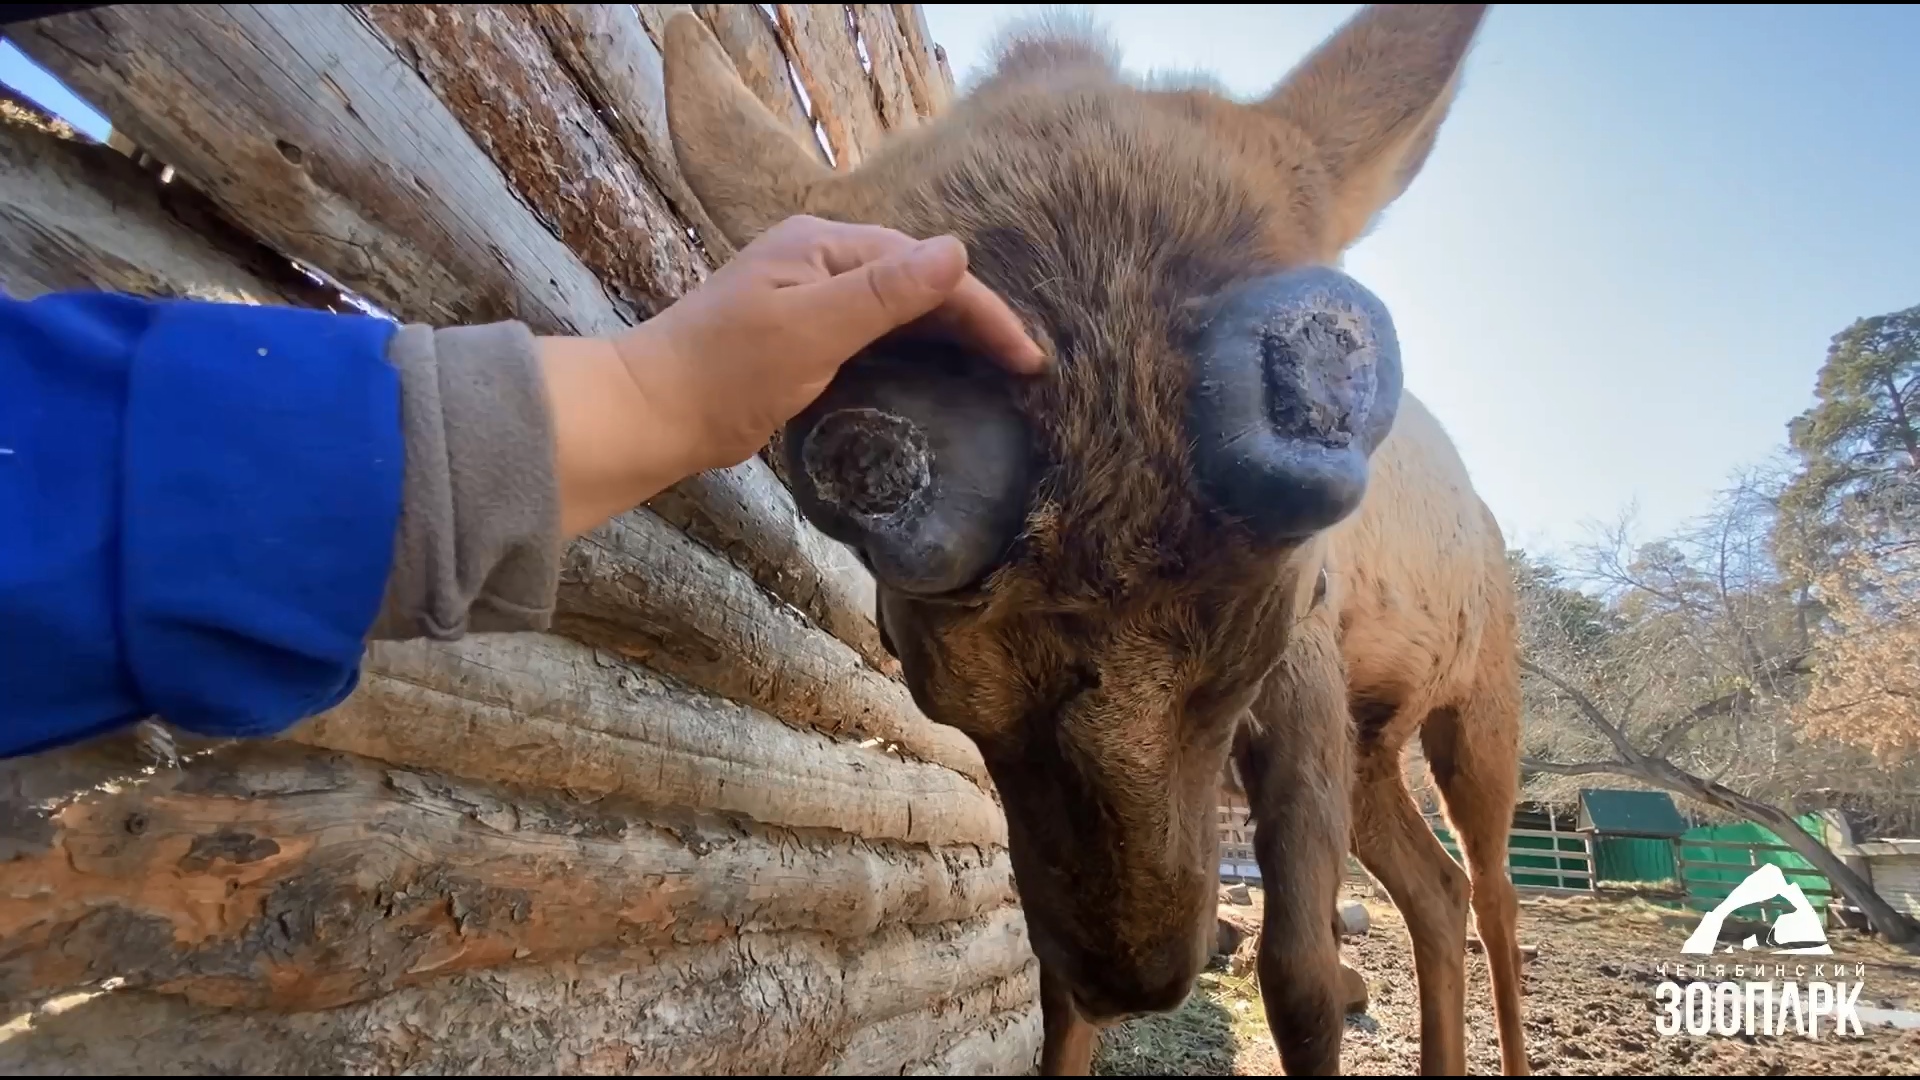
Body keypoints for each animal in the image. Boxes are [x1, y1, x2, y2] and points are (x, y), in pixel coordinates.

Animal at [660, 4, 1528, 1068]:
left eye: (1276, 621)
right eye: (932, 681)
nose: (1138, 982)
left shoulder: (1310, 671)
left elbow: (1302, 980)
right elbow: (1053, 1000)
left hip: (1479, 706)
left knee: (1494, 891)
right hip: (1376, 747)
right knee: (1436, 891)